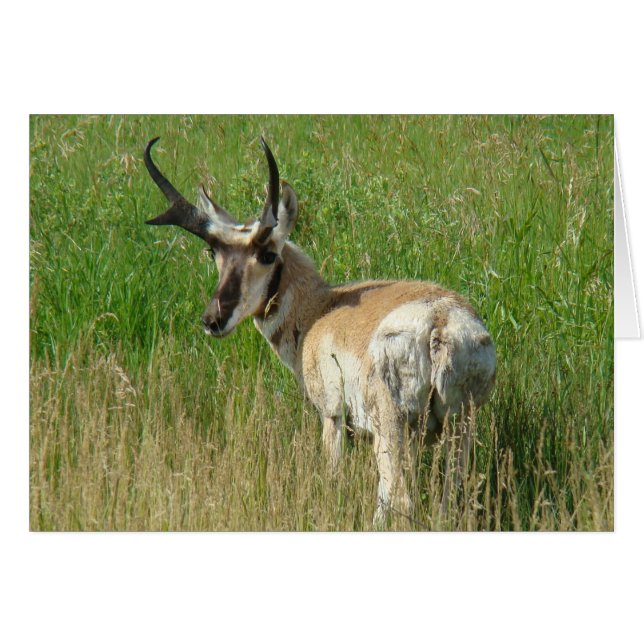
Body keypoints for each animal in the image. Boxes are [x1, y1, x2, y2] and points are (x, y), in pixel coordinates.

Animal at [143, 136, 496, 526]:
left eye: (267, 254)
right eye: (213, 253)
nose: (212, 320)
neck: (320, 309)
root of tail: (439, 321)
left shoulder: (332, 416)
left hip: (393, 428)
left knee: (398, 498)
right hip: (460, 427)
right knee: (451, 499)